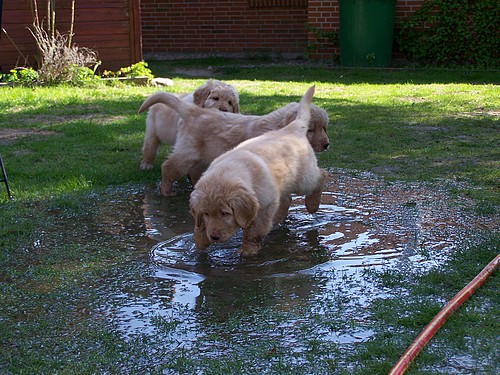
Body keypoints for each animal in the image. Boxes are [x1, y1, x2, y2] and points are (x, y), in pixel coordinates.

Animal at [139, 89, 330, 197]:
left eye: (324, 127)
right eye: (310, 129)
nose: (326, 145)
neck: (277, 125)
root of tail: (195, 110)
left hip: (201, 156)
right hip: (189, 152)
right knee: (168, 166)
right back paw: (166, 191)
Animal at [189, 86, 326, 258]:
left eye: (225, 213)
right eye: (206, 214)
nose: (214, 236)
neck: (228, 170)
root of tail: (292, 128)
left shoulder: (264, 207)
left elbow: (253, 232)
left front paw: (247, 250)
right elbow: (198, 224)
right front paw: (200, 239)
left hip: (303, 179)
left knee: (321, 176)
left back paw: (312, 204)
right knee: (287, 200)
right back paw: (278, 220)